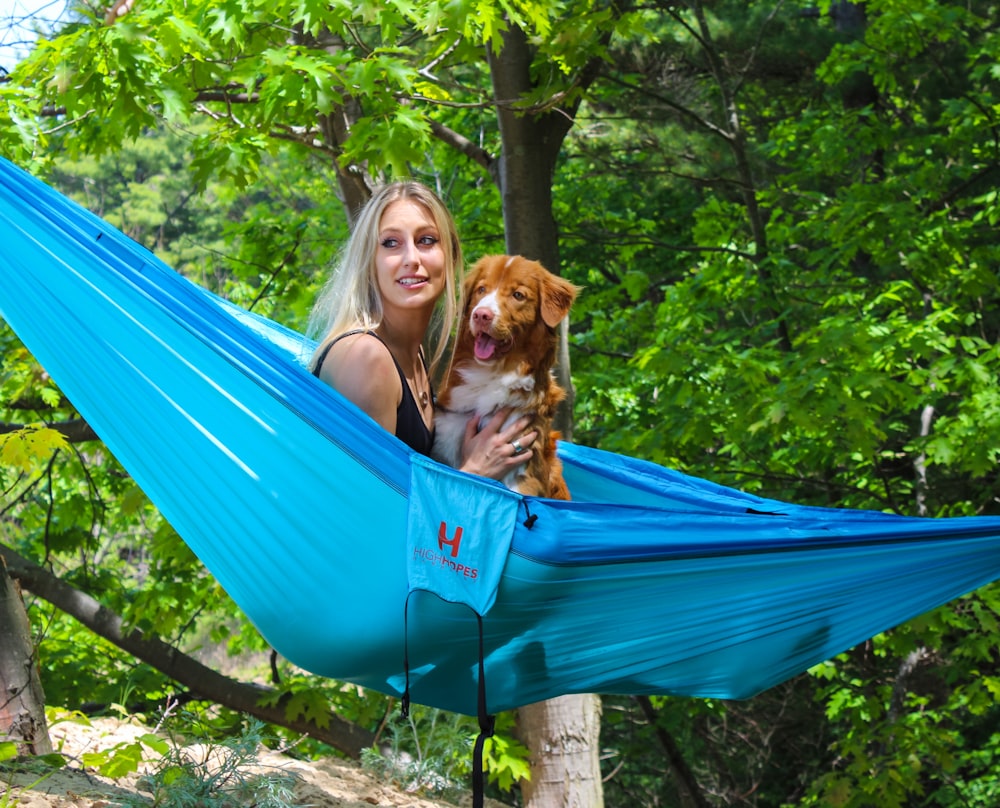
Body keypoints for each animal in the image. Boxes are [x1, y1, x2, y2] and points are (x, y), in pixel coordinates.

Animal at [430, 254, 580, 498]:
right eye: (481, 289)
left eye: (518, 295)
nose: (481, 315)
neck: (492, 375)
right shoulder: (448, 435)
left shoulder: (523, 469)